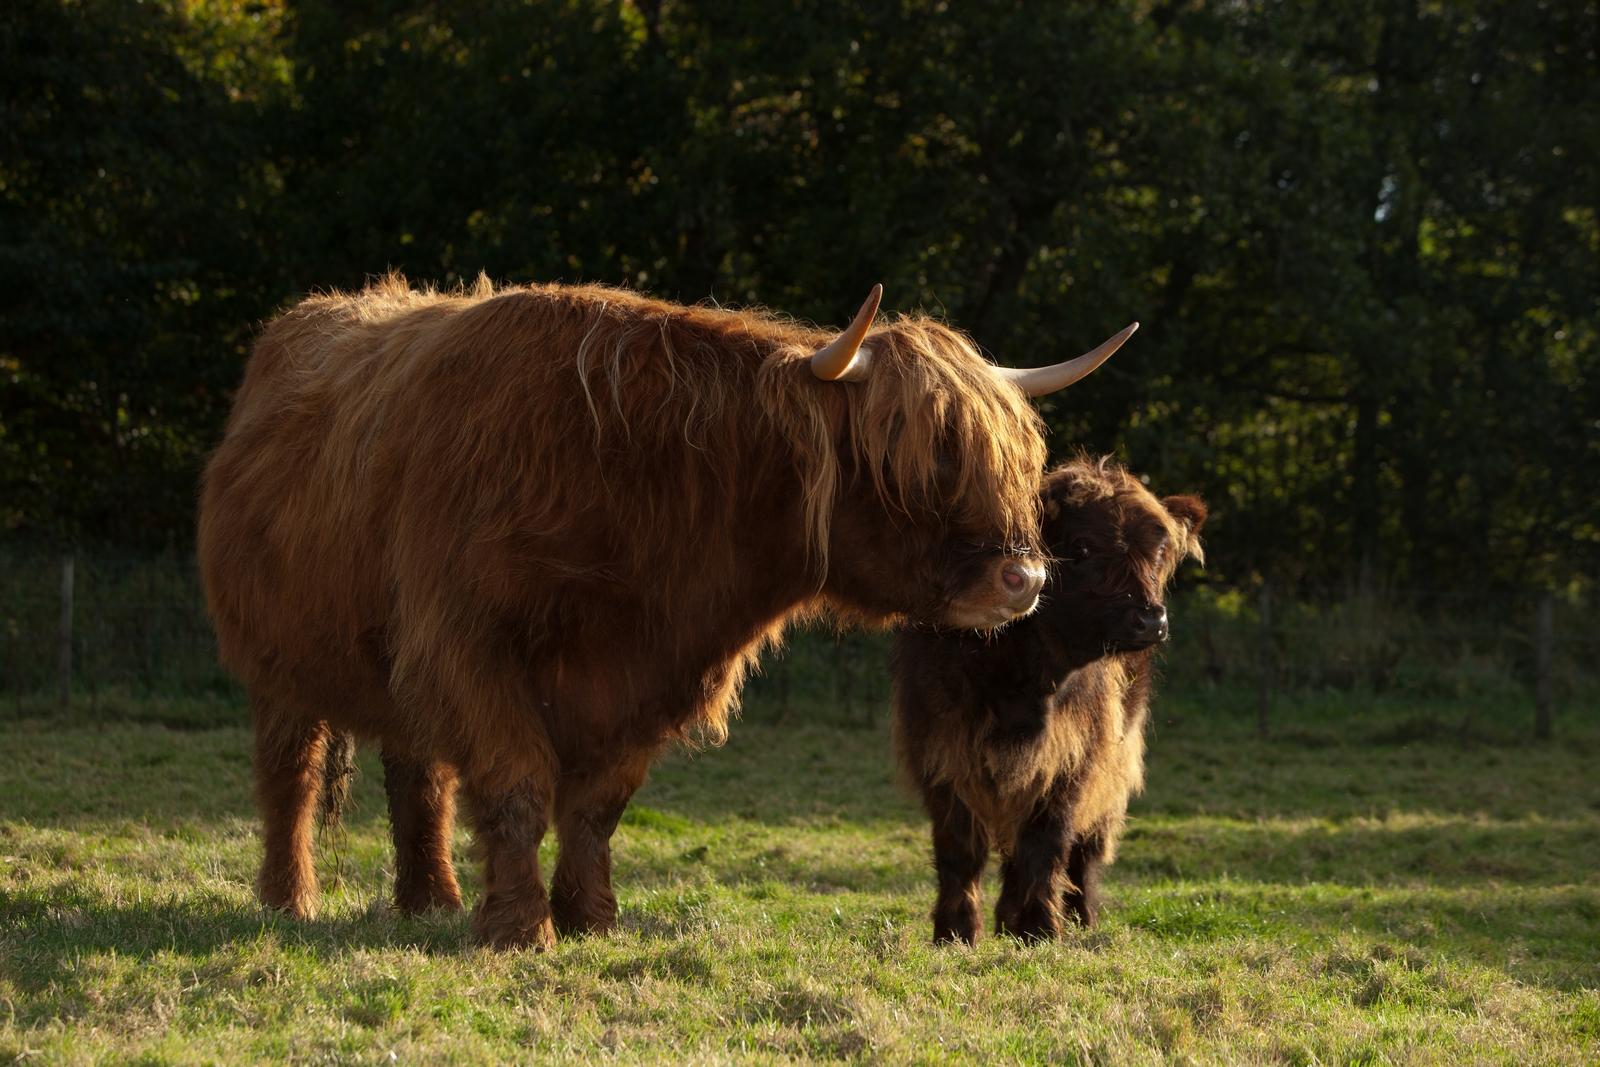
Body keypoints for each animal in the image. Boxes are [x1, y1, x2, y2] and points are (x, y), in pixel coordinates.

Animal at [197, 274, 1137, 949]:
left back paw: (431, 899)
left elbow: (595, 805)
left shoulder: (655, 673)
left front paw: (590, 917)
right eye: (917, 457)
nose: (1022, 576)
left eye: (1015, 458)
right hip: (279, 657)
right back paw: (289, 901)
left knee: (417, 773)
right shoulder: (469, 647)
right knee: (291, 774)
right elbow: (518, 787)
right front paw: (518, 928)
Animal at [890, 457, 1206, 944]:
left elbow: (1047, 844)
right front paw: (955, 931)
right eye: (1081, 550)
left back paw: (1079, 917)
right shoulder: (942, 752)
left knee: (1085, 850)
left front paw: (1039, 928)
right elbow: (960, 850)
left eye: (1158, 550)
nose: (1150, 621)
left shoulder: (1073, 758)